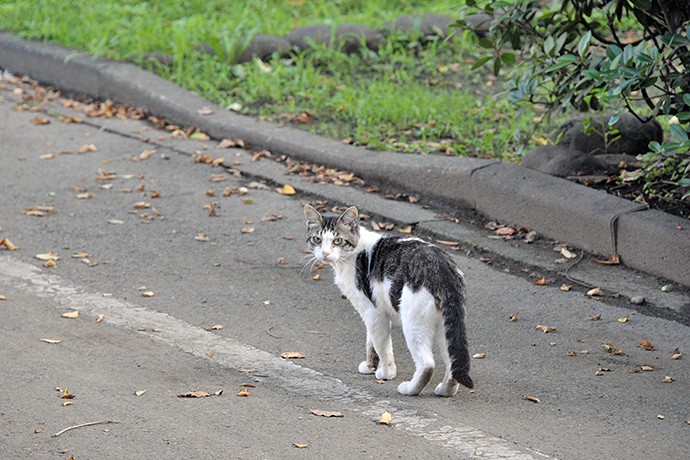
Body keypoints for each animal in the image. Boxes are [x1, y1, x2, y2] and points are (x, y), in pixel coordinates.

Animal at [302, 205, 472, 396]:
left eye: (337, 241)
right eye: (317, 239)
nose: (324, 253)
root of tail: (443, 268)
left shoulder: (373, 313)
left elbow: (382, 346)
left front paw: (385, 373)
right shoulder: (374, 312)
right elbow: (371, 342)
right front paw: (371, 366)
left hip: (414, 323)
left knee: (427, 364)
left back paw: (410, 389)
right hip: (446, 326)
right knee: (453, 361)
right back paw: (445, 390)